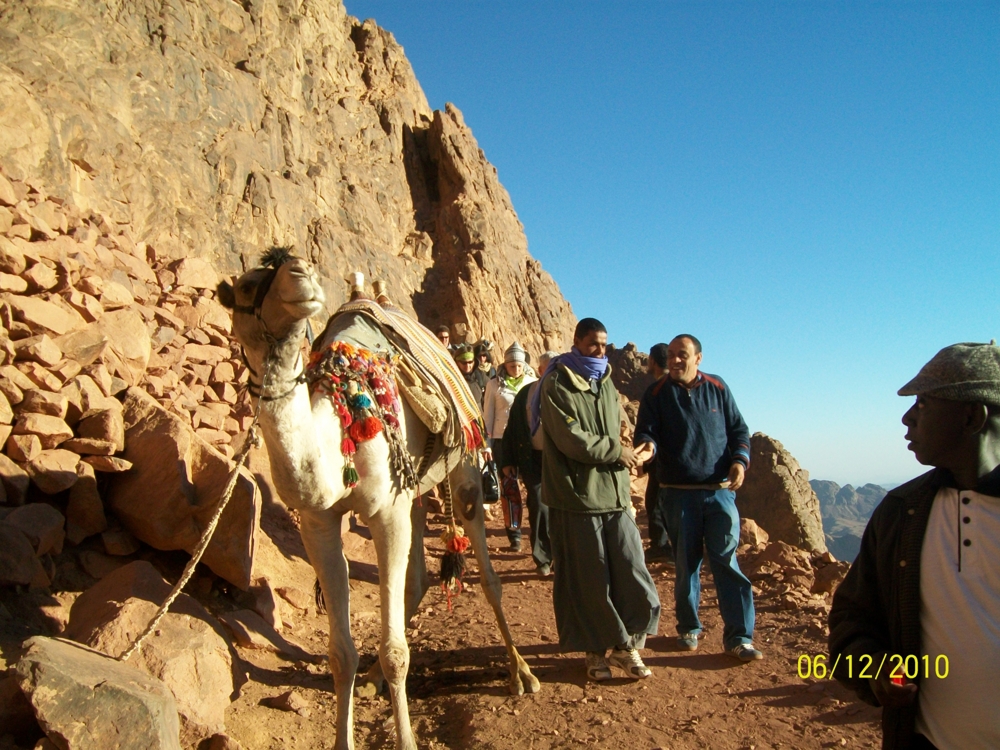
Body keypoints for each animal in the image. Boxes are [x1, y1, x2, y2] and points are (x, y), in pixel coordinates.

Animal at [219, 254, 540, 750]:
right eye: (247, 286)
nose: (300, 273)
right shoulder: (318, 522)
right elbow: (339, 654)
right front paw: (345, 730)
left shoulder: (385, 512)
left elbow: (395, 652)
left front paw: (405, 739)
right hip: (413, 488)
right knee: (418, 578)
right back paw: (371, 676)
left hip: (465, 462)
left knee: (485, 571)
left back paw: (520, 672)